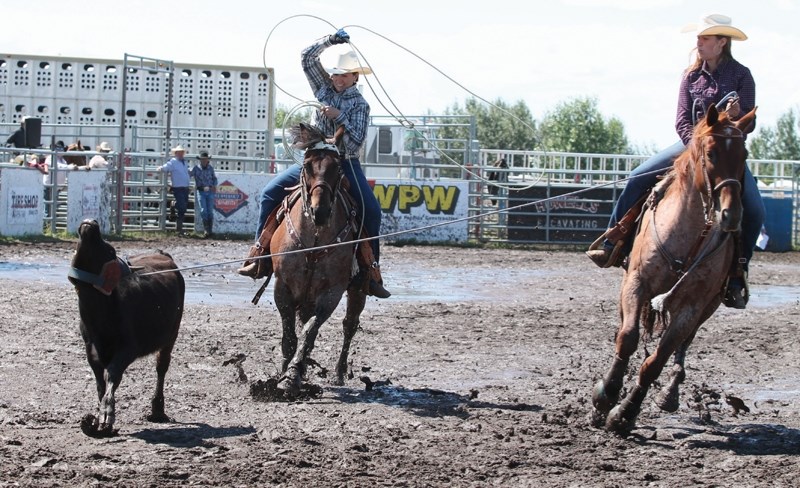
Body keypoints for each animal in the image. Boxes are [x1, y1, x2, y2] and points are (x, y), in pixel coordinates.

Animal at [272, 122, 366, 396]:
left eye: (339, 168)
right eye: (306, 165)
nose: (320, 211)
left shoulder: (332, 292)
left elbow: (310, 332)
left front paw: (293, 375)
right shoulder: (282, 286)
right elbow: (290, 336)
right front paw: (284, 371)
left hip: (358, 289)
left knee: (349, 325)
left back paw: (339, 373)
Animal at [592, 105, 760, 432]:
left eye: (744, 154)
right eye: (711, 152)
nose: (730, 216)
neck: (687, 237)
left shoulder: (691, 307)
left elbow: (656, 361)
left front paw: (624, 414)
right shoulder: (637, 282)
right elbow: (627, 338)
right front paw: (605, 395)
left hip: (709, 306)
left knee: (684, 345)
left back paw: (670, 393)